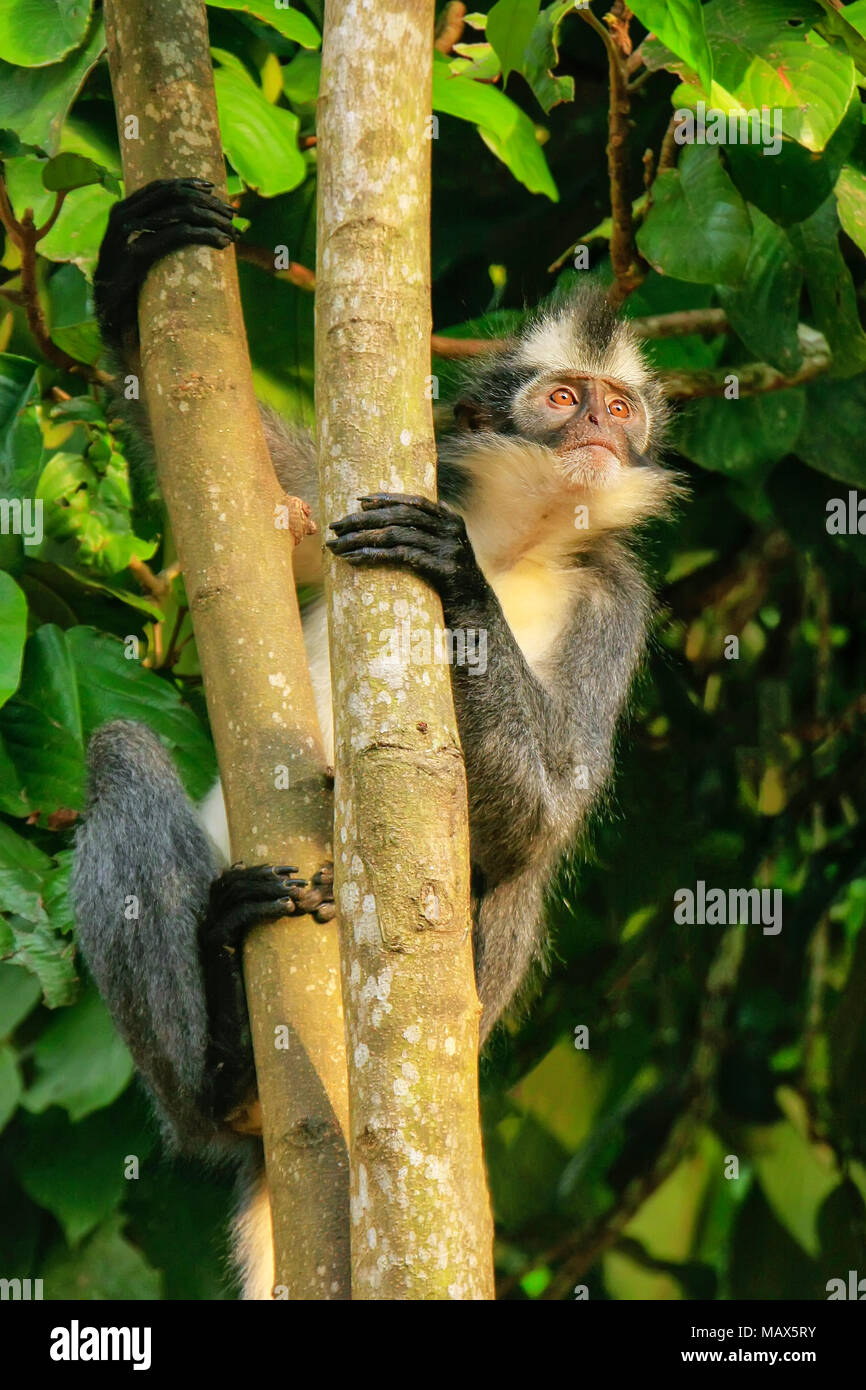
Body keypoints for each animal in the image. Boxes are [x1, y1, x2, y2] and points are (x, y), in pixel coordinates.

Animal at [70, 178, 680, 1299]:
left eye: (621, 409)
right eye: (563, 400)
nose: (599, 433)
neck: (520, 541)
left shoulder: (618, 596)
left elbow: (547, 814)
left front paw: (453, 573)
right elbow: (227, 488)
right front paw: (129, 261)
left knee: (518, 868)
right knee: (121, 751)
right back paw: (224, 1061)